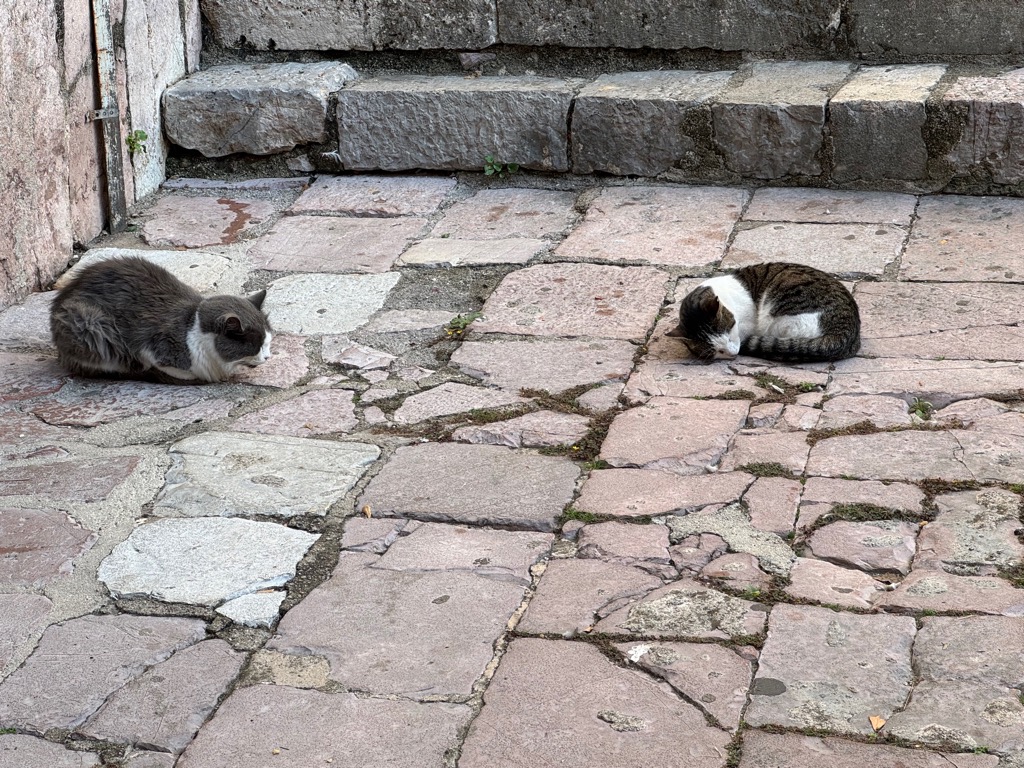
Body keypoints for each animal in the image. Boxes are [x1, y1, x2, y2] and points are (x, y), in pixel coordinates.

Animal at [50, 256, 272, 383]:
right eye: (256, 347)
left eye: (268, 343)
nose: (268, 357)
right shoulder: (152, 346)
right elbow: (177, 370)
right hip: (89, 325)